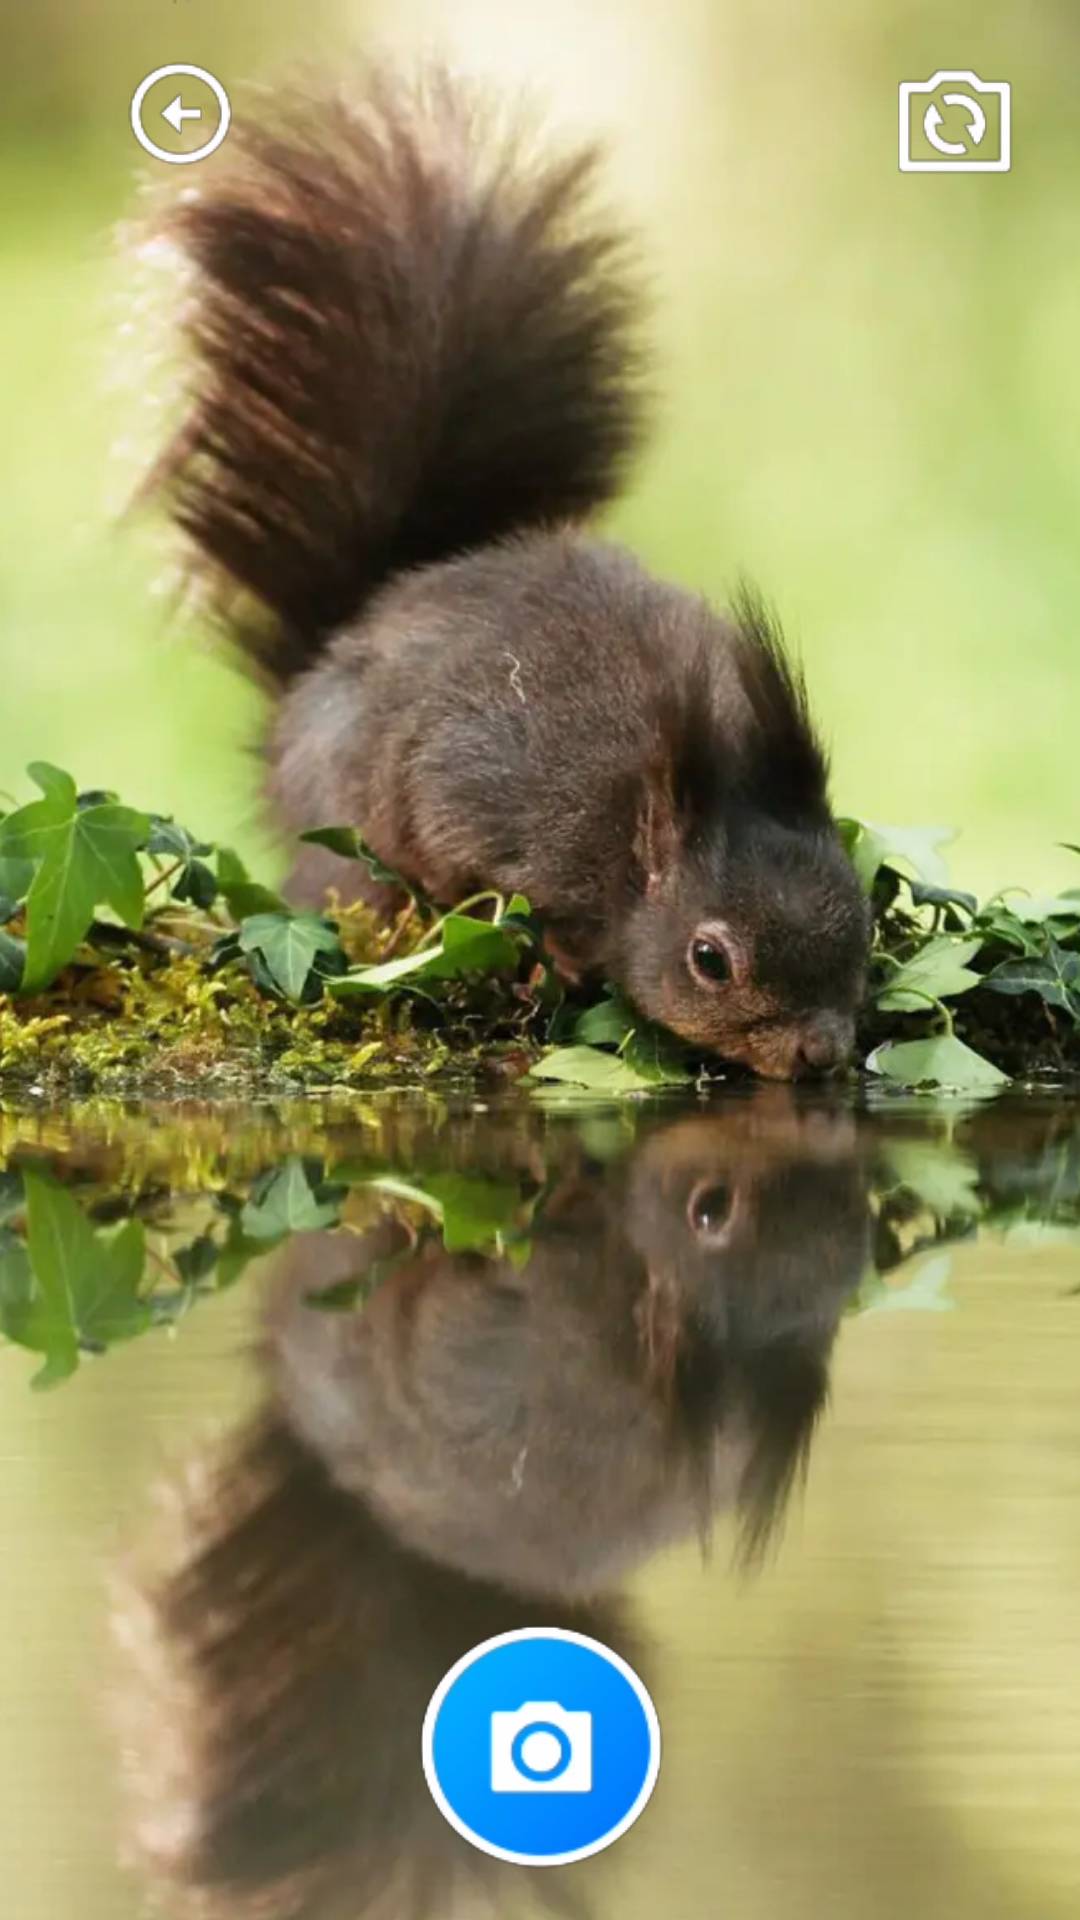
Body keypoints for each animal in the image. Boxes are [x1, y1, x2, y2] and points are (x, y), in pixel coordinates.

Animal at [143, 63, 864, 1082]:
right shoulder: (487, 793)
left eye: (862, 920)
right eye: (709, 958)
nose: (818, 1054)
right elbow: (488, 880)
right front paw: (549, 958)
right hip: (342, 833)